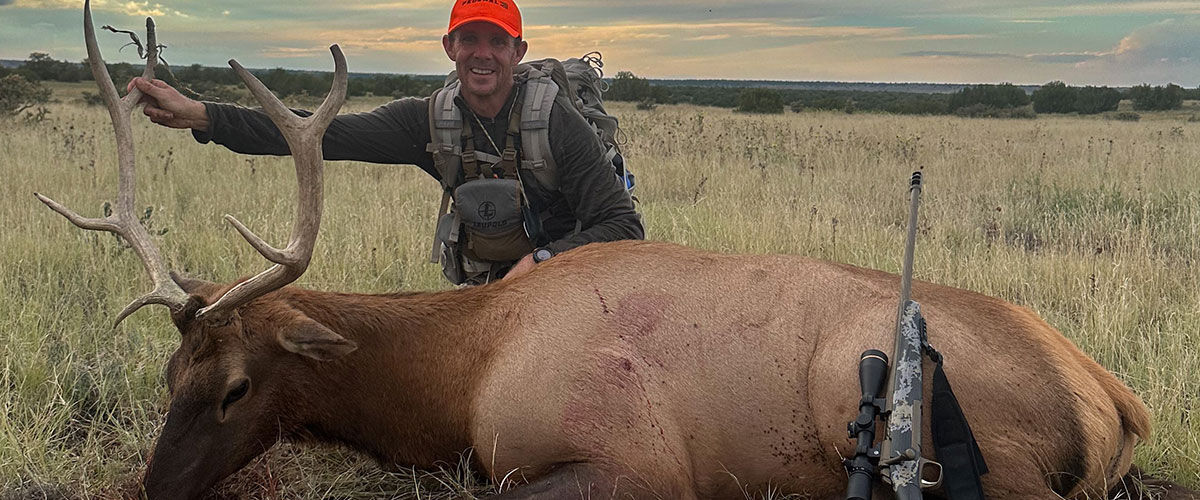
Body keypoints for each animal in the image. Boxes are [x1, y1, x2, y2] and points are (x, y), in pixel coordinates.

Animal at [37, 3, 1191, 500]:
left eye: (235, 385)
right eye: (169, 373)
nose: (150, 488)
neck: (462, 375)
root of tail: (1116, 399)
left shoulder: (630, 459)